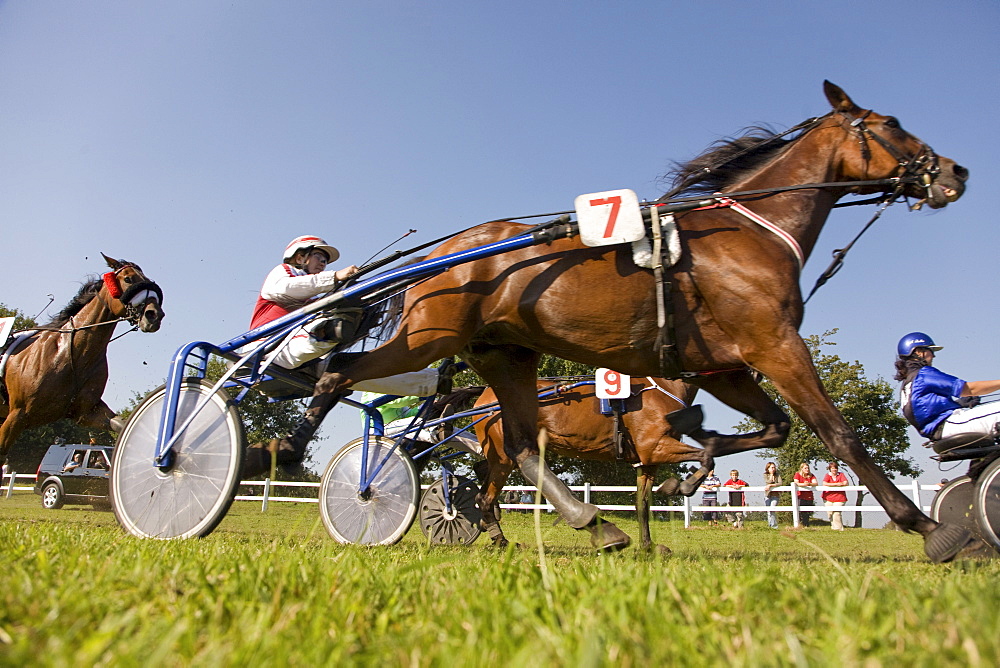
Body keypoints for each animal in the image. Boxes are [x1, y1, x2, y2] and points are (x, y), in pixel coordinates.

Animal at [0, 256, 164, 464]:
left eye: (147, 278)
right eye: (128, 278)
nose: (155, 314)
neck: (71, 354)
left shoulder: (86, 412)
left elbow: (120, 424)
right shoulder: (16, 416)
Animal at [472, 378, 700, 552]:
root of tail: (486, 394)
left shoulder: (648, 462)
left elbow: (641, 505)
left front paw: (648, 546)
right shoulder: (656, 448)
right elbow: (705, 455)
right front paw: (683, 486)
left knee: (482, 475)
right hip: (504, 458)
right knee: (485, 497)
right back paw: (501, 539)